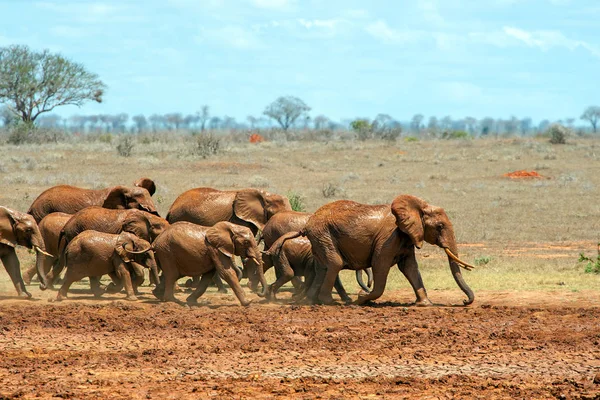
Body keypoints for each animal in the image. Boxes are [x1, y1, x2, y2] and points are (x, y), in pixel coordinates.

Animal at [274, 195, 476, 306]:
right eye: (440, 226)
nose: (464, 301)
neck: (417, 206)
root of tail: (308, 223)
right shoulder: (389, 239)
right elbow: (381, 265)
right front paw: (362, 298)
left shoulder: (406, 238)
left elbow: (410, 268)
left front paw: (425, 304)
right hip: (323, 235)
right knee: (334, 263)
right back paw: (330, 302)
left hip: (320, 239)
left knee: (321, 267)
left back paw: (311, 301)